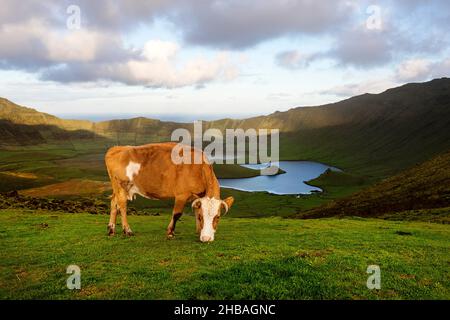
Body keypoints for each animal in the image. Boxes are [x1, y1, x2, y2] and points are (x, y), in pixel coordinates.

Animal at [104, 141, 234, 241]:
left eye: (218, 217)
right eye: (203, 217)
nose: (206, 239)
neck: (198, 168)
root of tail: (117, 148)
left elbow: (196, 211)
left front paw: (198, 231)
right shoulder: (182, 194)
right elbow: (177, 214)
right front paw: (170, 232)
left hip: (117, 188)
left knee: (114, 203)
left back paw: (111, 230)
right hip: (121, 186)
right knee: (122, 206)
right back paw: (127, 230)